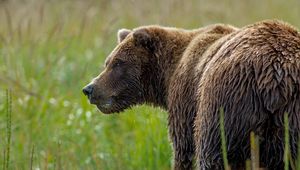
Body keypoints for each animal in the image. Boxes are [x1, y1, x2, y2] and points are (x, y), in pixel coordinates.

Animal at [83, 20, 300, 170]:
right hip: (289, 122)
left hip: (226, 105)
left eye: (118, 62)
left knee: (213, 155)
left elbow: (183, 151)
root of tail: (275, 78)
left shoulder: (186, 99)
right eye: (108, 62)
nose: (89, 88)